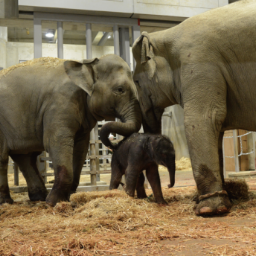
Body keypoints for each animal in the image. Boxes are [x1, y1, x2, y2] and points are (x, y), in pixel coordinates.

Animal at [0, 55, 140, 206]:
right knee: (5, 156)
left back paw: (38, 197)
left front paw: (64, 199)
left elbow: (80, 147)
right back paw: (7, 202)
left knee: (24, 157)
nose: (113, 143)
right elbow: (55, 142)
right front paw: (53, 203)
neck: (85, 65)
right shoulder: (60, 103)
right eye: (120, 89)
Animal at [132, 0, 256, 216]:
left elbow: (203, 119)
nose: (156, 201)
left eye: (136, 82)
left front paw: (207, 209)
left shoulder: (198, 59)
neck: (166, 33)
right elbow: (216, 129)